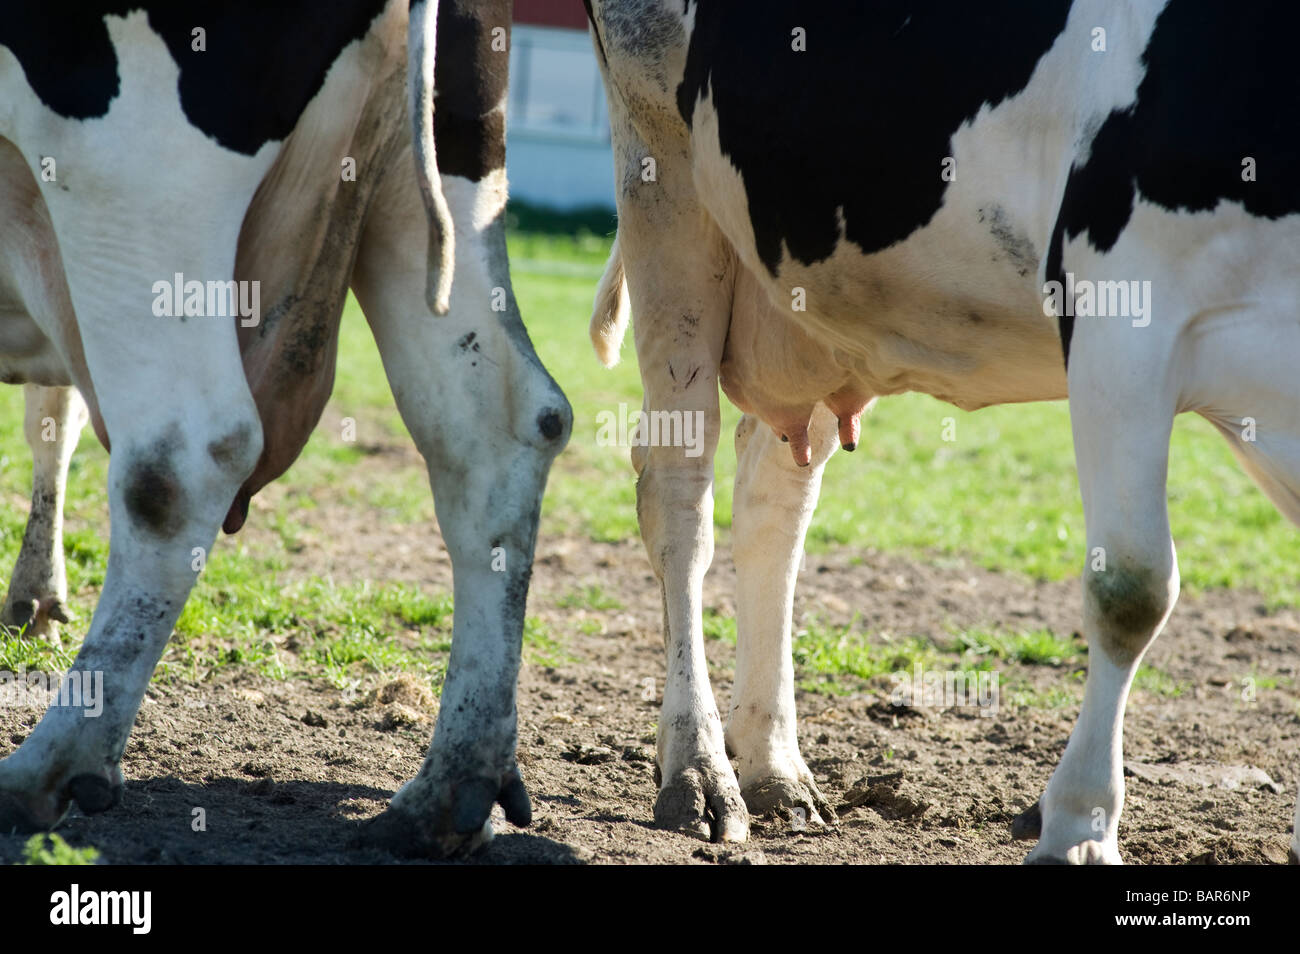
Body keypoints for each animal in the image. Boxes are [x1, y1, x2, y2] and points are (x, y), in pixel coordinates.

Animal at [0, 0, 572, 863]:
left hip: (127, 179)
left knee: (181, 457)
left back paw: (46, 768)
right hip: (433, 188)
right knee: (498, 432)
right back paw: (445, 793)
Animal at [585, 1, 1300, 868]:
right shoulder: (1123, 314)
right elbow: (1131, 587)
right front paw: (1076, 829)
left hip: (805, 285)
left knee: (774, 502)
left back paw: (776, 772)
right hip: (663, 171)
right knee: (680, 497)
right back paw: (698, 770)